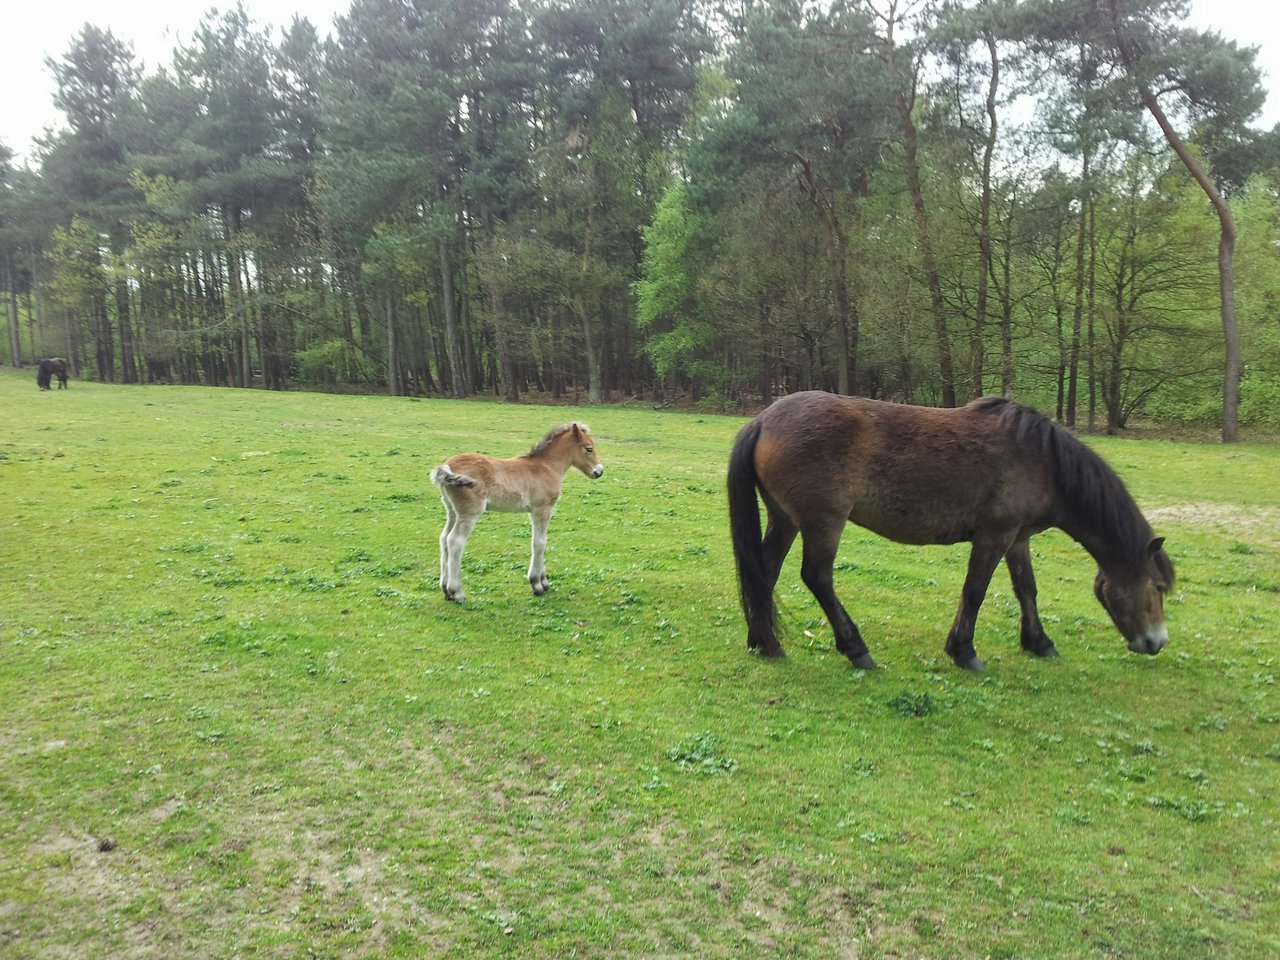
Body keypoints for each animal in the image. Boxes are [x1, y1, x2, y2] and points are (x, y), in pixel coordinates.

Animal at [431, 423, 604, 602]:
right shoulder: (542, 509)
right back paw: (457, 592)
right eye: (589, 449)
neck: (547, 466)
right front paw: (537, 584)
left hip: (452, 511)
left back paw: (446, 589)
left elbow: (541, 541)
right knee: (455, 541)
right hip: (470, 513)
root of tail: (446, 466)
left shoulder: (533, 510)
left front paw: (544, 582)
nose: (599, 471)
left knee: (444, 538)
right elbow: (540, 542)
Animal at [727, 391, 1174, 671]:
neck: (1041, 460)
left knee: (764, 574)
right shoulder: (994, 536)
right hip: (824, 523)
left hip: (785, 520)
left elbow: (1026, 589)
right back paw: (855, 648)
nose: (1156, 642)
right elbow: (974, 591)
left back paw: (765, 642)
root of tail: (762, 420)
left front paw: (1038, 642)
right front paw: (963, 651)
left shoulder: (1017, 538)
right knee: (817, 577)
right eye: (1156, 588)